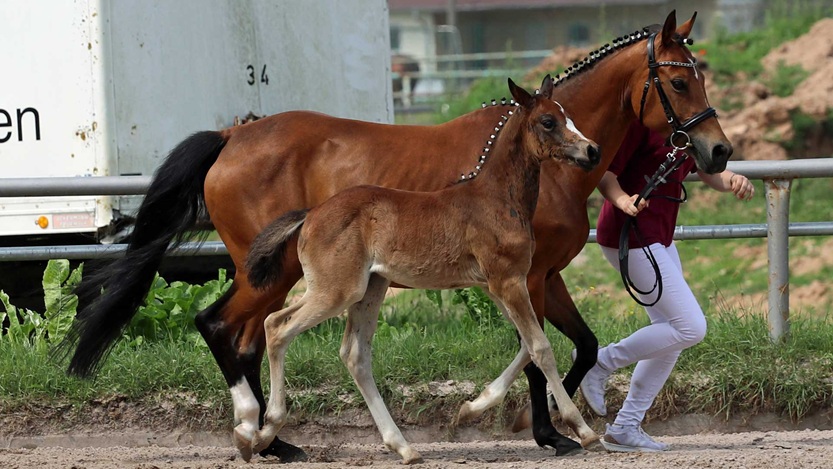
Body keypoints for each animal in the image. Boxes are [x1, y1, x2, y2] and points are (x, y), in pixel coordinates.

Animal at [244, 77, 600, 460]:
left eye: (568, 115)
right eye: (548, 121)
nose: (592, 151)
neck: (497, 198)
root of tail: (311, 214)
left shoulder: (495, 284)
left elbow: (527, 346)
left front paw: (470, 409)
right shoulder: (508, 280)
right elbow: (541, 347)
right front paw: (583, 430)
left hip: (371, 288)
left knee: (355, 355)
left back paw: (403, 447)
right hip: (337, 290)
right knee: (276, 325)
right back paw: (263, 432)